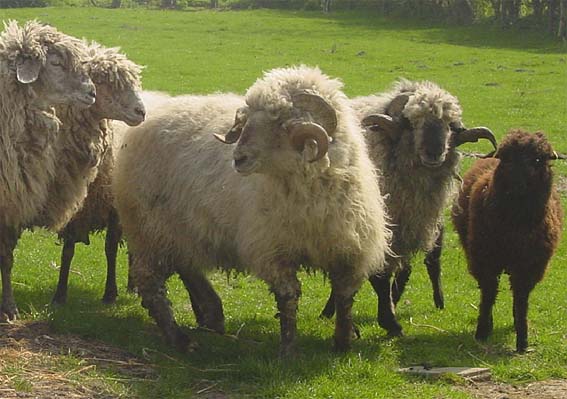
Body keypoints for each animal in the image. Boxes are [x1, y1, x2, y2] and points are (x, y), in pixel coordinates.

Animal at [113, 65, 392, 356]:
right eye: (246, 121)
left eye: (282, 124)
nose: (239, 158)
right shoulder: (273, 250)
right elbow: (288, 296)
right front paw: (288, 349)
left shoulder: (350, 251)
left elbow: (345, 297)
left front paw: (343, 343)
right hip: (150, 230)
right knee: (151, 285)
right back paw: (180, 338)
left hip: (182, 231)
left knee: (186, 265)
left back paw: (212, 315)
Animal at [322, 79, 500, 340]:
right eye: (413, 122)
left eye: (449, 126)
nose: (434, 152)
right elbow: (379, 277)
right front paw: (389, 321)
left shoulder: (403, 230)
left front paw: (388, 314)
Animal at [452, 129, 564, 354]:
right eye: (507, 159)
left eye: (537, 159)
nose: (518, 185)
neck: (514, 226)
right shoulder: (485, 261)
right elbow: (488, 295)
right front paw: (482, 332)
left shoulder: (529, 267)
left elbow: (521, 301)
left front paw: (522, 341)